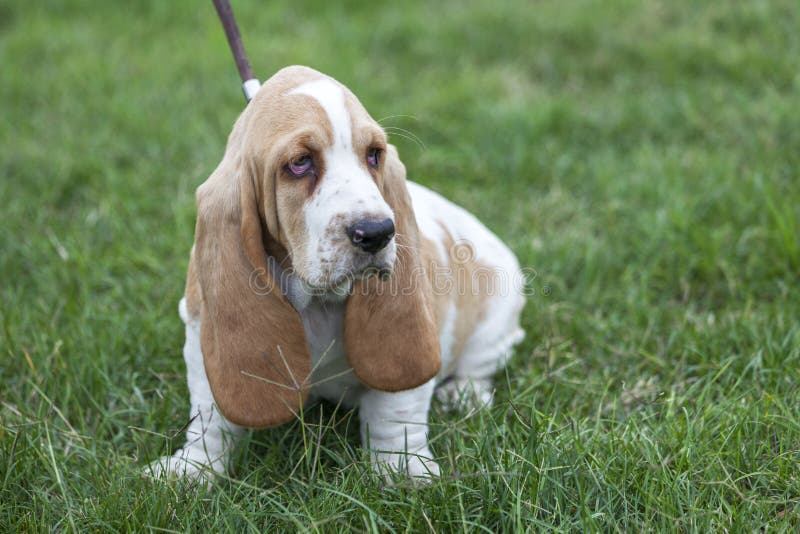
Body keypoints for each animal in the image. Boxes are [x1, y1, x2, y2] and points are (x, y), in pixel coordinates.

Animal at [150, 65, 524, 484]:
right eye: (300, 162)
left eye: (374, 154)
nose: (377, 232)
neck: (316, 301)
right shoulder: (201, 335)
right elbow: (211, 418)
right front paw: (191, 470)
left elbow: (395, 410)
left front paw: (402, 470)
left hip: (497, 319)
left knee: (480, 365)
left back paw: (464, 395)